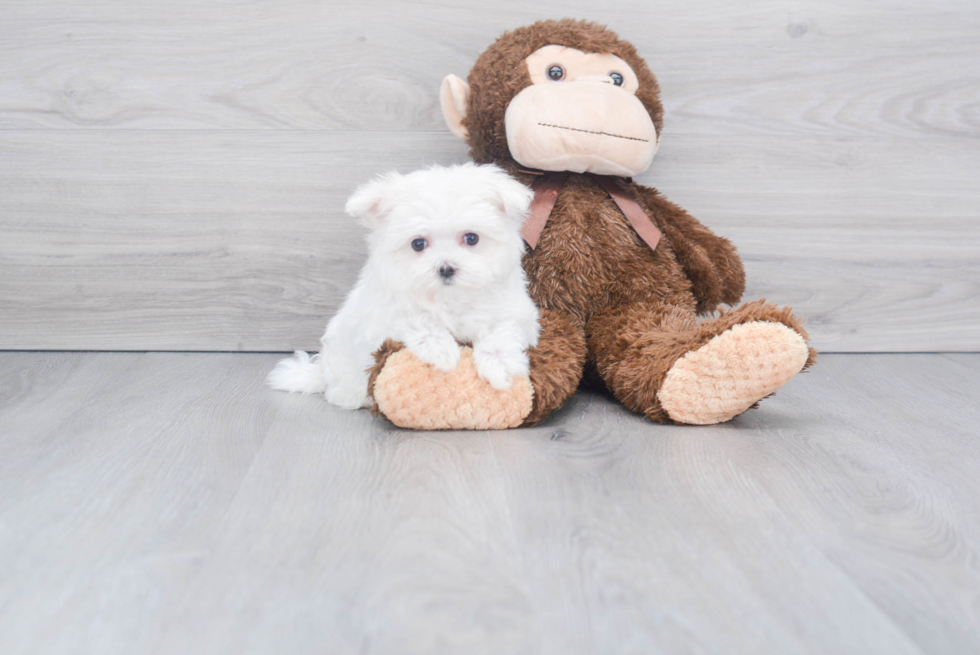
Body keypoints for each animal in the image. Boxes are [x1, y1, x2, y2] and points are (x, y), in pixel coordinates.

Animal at [268, 164, 540, 410]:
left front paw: (500, 367)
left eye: (471, 238)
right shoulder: (384, 314)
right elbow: (417, 320)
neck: (449, 298)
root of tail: (321, 371)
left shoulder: (515, 312)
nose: (446, 268)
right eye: (418, 244)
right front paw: (443, 353)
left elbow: (501, 331)